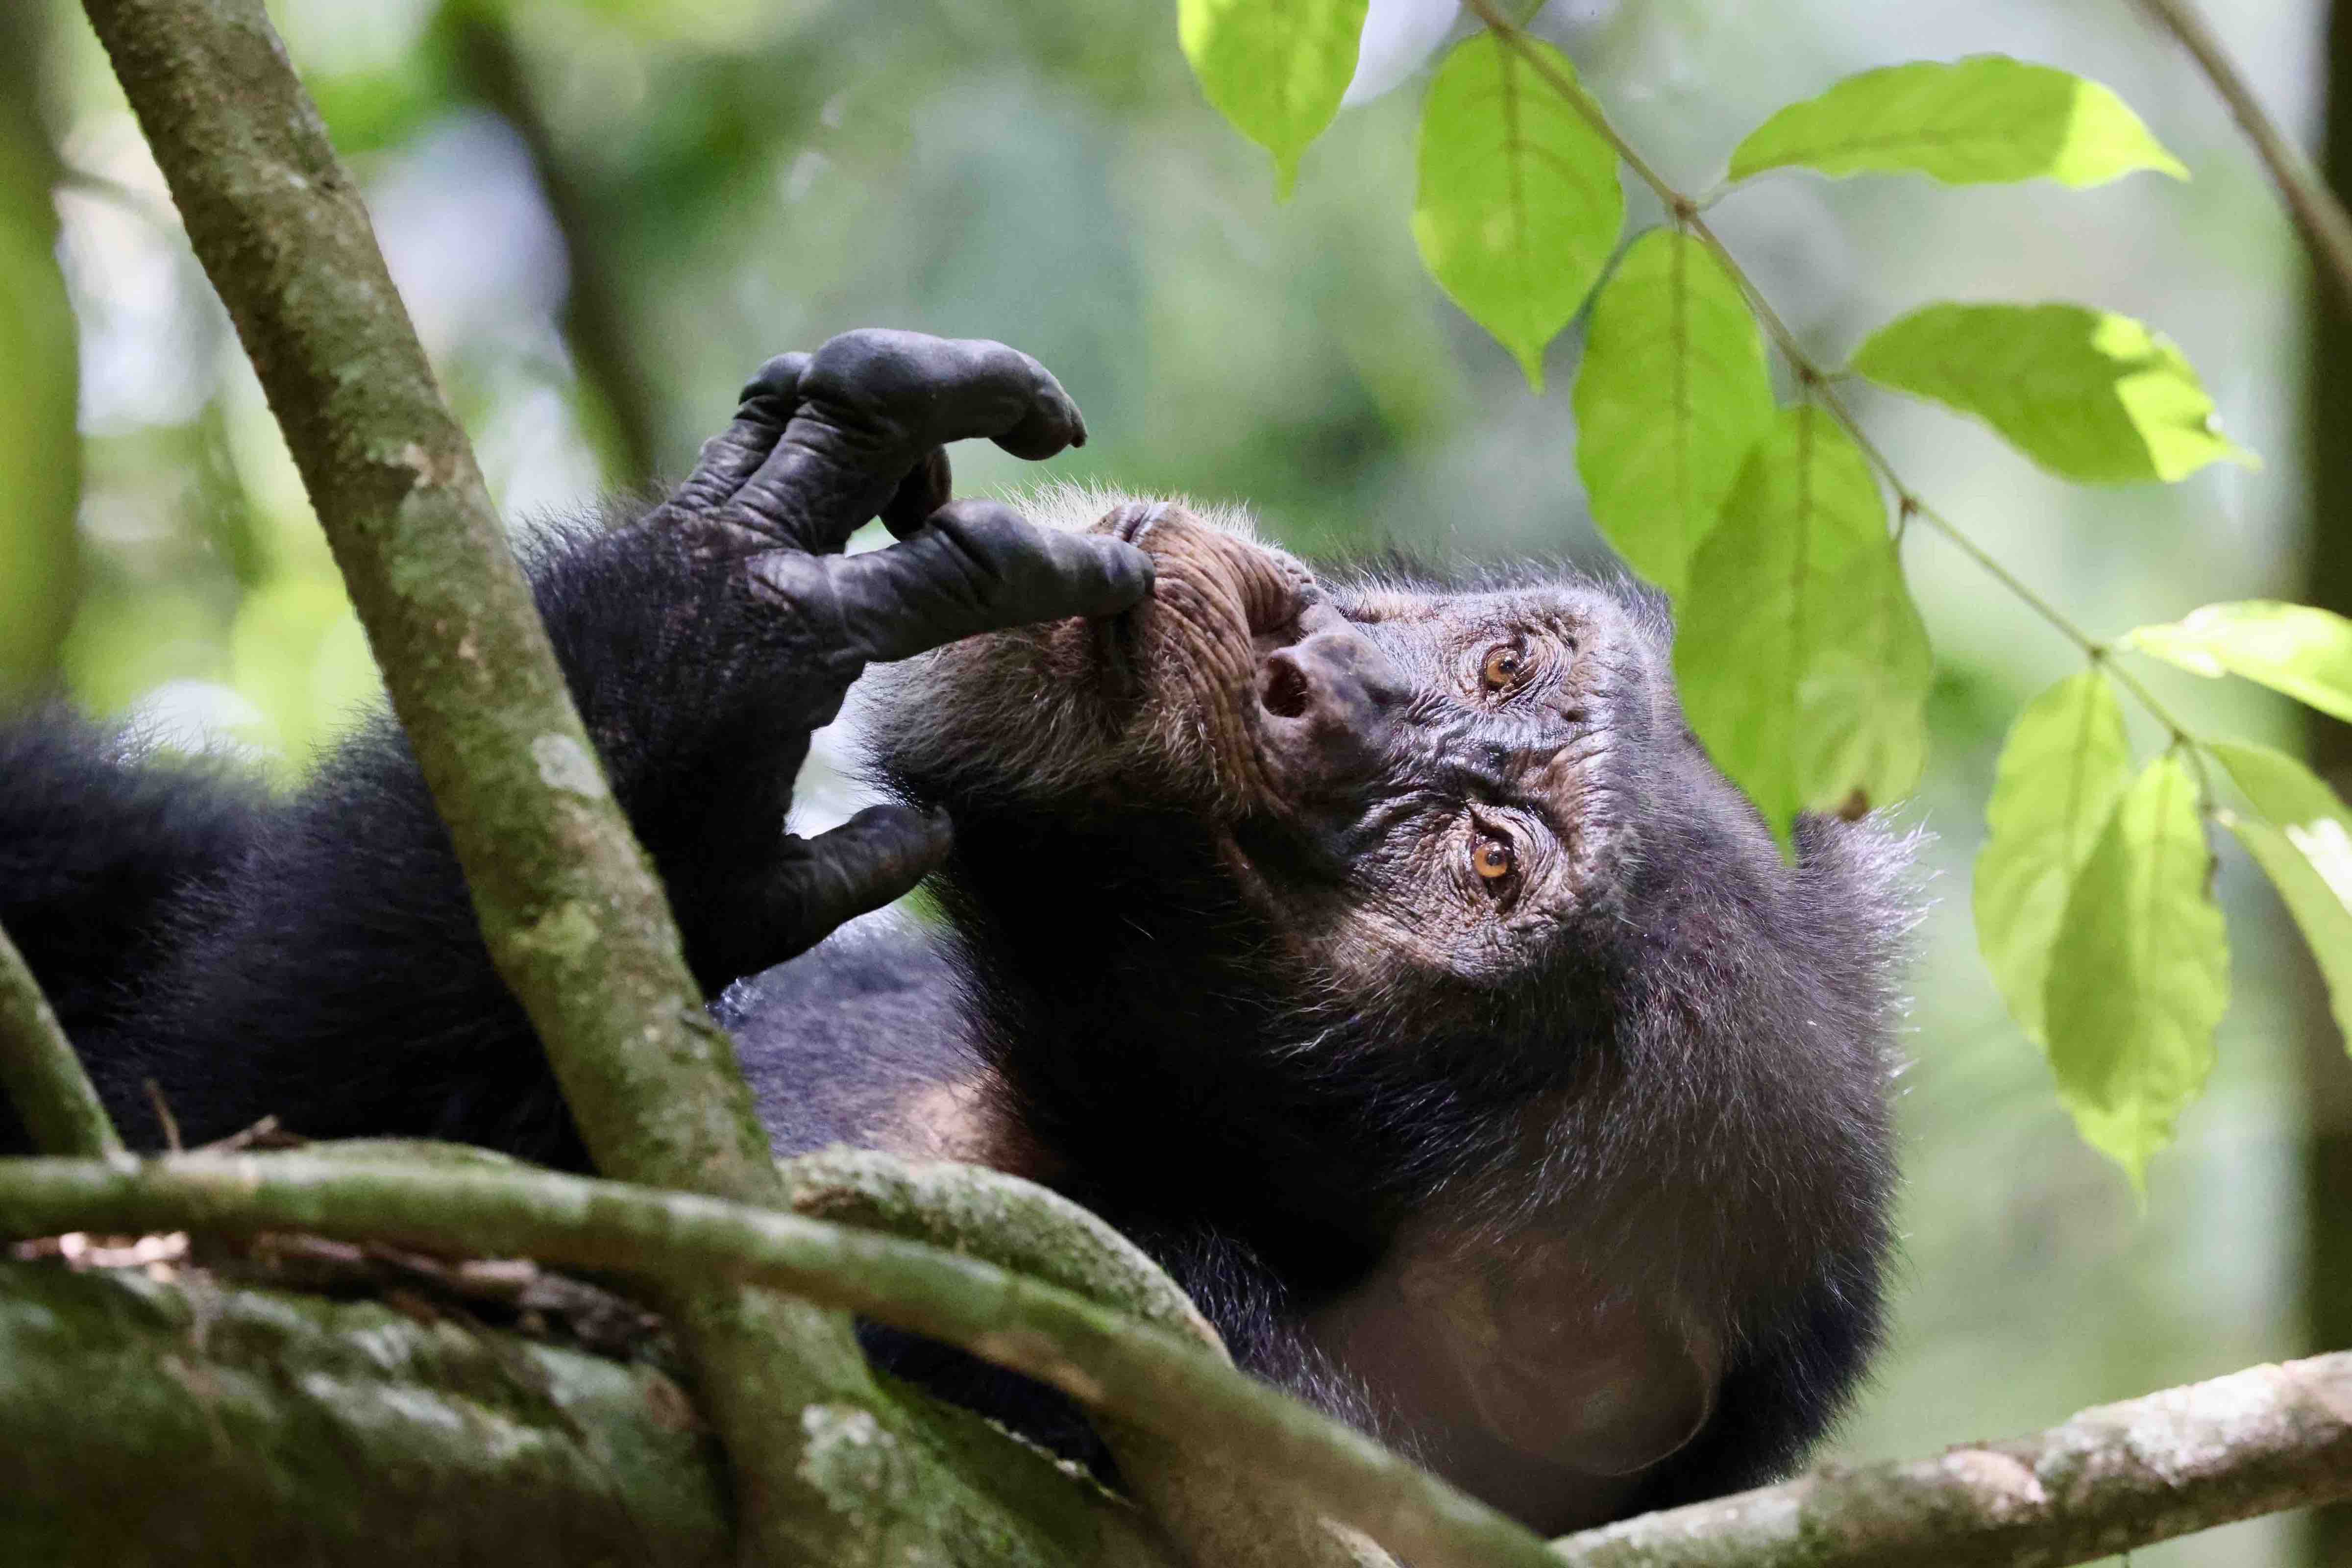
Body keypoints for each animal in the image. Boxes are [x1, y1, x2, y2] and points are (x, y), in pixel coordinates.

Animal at [0, 329, 1910, 1533]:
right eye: (1508, 662)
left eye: (1488, 860)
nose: (1312, 681)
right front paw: (760, 535)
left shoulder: (1145, 1368)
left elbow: (245, 1140)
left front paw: (719, 629)